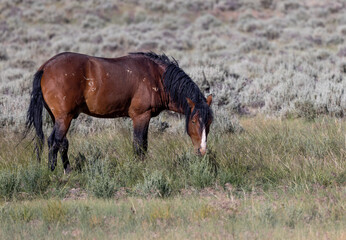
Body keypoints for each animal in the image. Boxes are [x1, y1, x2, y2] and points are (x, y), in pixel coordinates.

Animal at [24, 52, 212, 172]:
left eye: (209, 122)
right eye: (193, 121)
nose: (202, 151)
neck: (157, 76)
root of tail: (45, 67)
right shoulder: (141, 116)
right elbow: (140, 145)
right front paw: (139, 168)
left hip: (58, 117)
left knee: (62, 142)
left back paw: (67, 170)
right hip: (64, 118)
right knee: (54, 141)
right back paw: (53, 171)